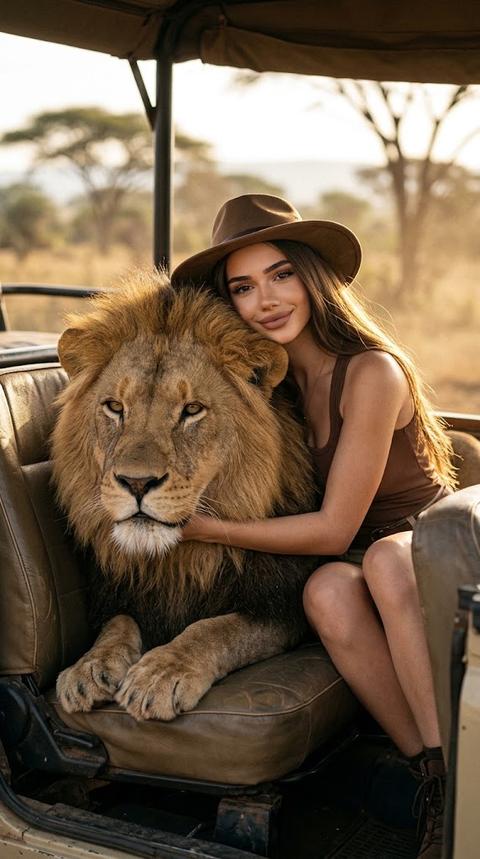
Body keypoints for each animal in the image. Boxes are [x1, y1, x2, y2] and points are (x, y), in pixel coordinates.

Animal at [53, 271, 318, 722]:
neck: (176, 562)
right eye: (114, 407)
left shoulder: (282, 605)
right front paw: (88, 668)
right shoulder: (121, 594)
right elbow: (117, 626)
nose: (136, 483)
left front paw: (161, 674)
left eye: (192, 409)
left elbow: (215, 629)